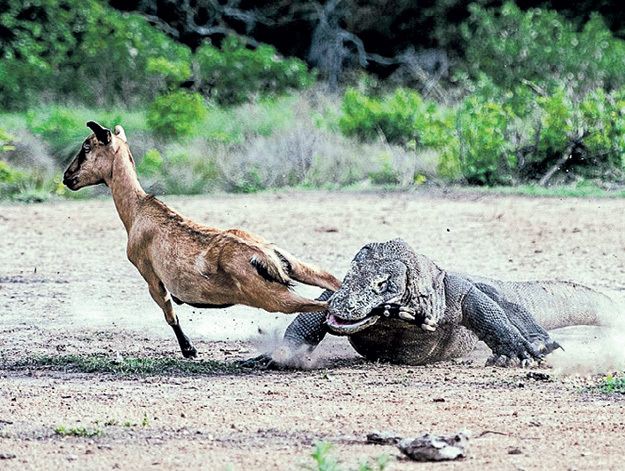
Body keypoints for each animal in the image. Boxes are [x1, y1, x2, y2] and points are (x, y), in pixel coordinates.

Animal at [63, 121, 342, 358]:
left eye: (86, 147)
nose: (67, 177)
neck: (138, 210)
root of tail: (264, 256)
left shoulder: (150, 275)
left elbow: (169, 313)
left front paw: (189, 350)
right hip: (294, 266)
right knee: (332, 281)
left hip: (272, 298)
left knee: (327, 305)